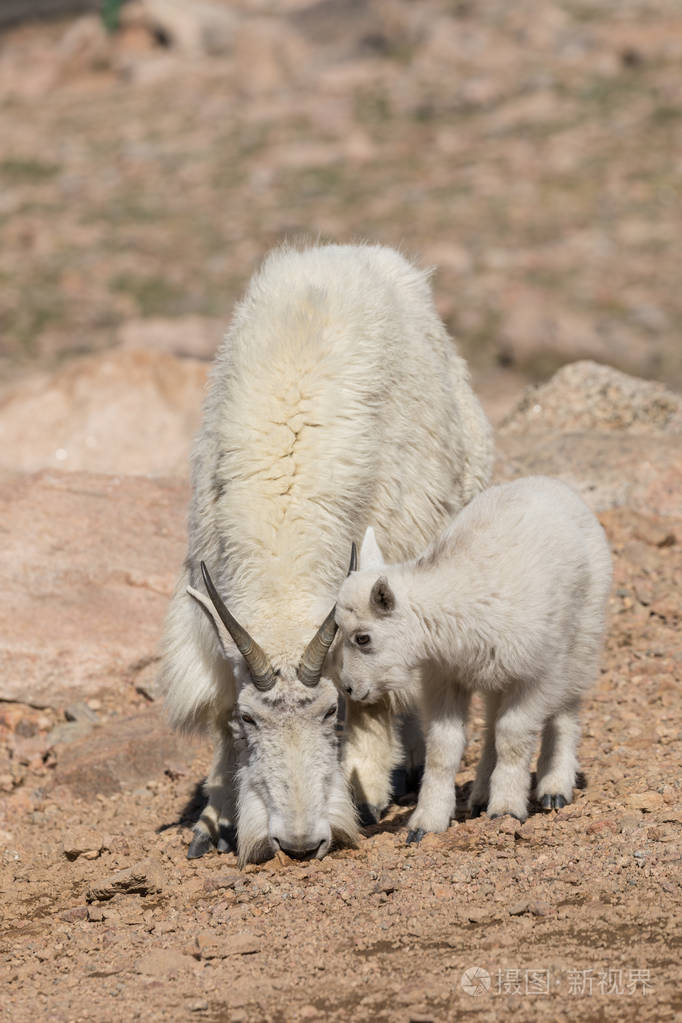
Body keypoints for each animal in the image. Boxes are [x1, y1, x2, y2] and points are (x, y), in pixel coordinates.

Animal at [158, 243, 496, 859]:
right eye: (250, 720)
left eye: (330, 710)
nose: (297, 842)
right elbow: (216, 710)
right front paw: (214, 819)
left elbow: (376, 692)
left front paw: (366, 791)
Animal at [335, 474, 613, 842]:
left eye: (362, 638)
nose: (350, 688)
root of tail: (551, 483)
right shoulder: (445, 678)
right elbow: (444, 748)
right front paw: (427, 823)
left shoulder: (534, 675)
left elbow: (514, 737)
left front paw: (507, 809)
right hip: (496, 673)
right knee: (493, 719)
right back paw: (481, 793)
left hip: (582, 634)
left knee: (566, 708)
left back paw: (554, 787)